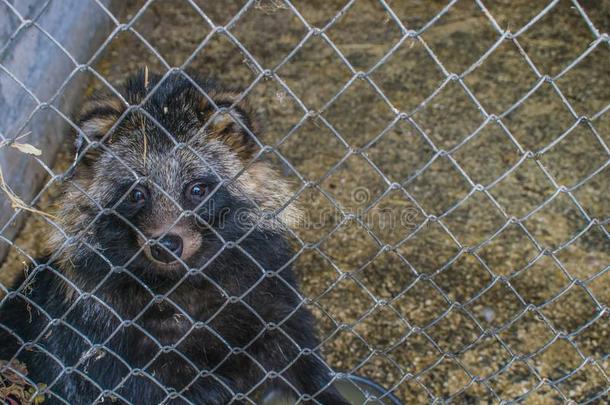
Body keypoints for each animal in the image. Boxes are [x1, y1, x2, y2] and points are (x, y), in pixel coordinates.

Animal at [0, 71, 346, 402]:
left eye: (196, 189)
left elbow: (296, 353)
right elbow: (138, 385)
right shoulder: (102, 329)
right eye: (137, 194)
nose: (165, 246)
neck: (184, 278)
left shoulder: (267, 287)